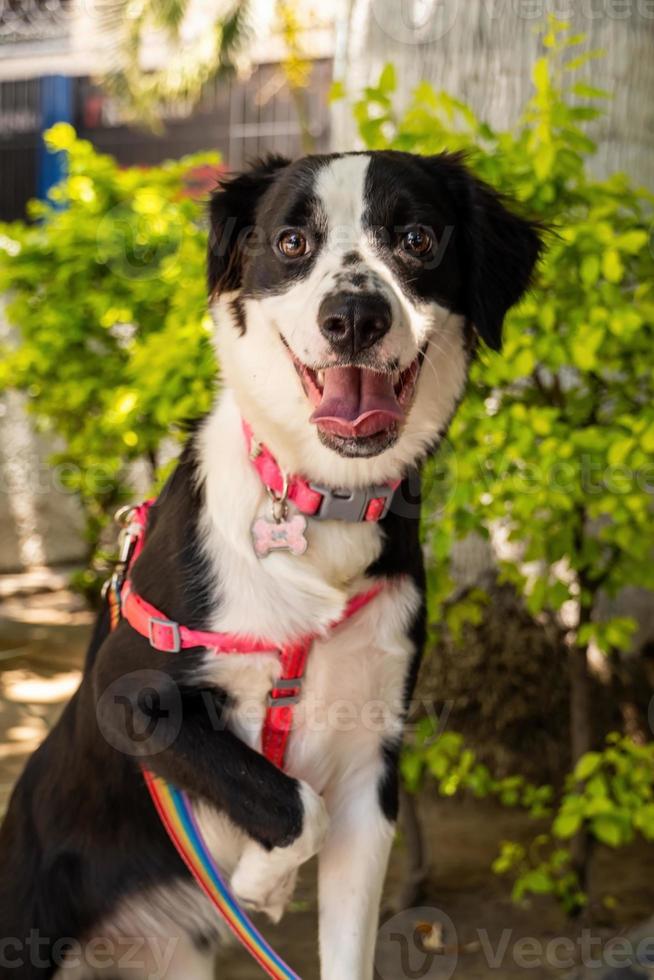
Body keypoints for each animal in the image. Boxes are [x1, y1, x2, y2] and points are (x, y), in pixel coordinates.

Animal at [0, 149, 544, 976]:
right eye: (292, 243)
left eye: (417, 238)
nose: (353, 318)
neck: (323, 504)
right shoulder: (125, 690)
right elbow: (287, 797)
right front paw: (262, 877)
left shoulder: (371, 768)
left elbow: (331, 878)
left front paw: (265, 879)